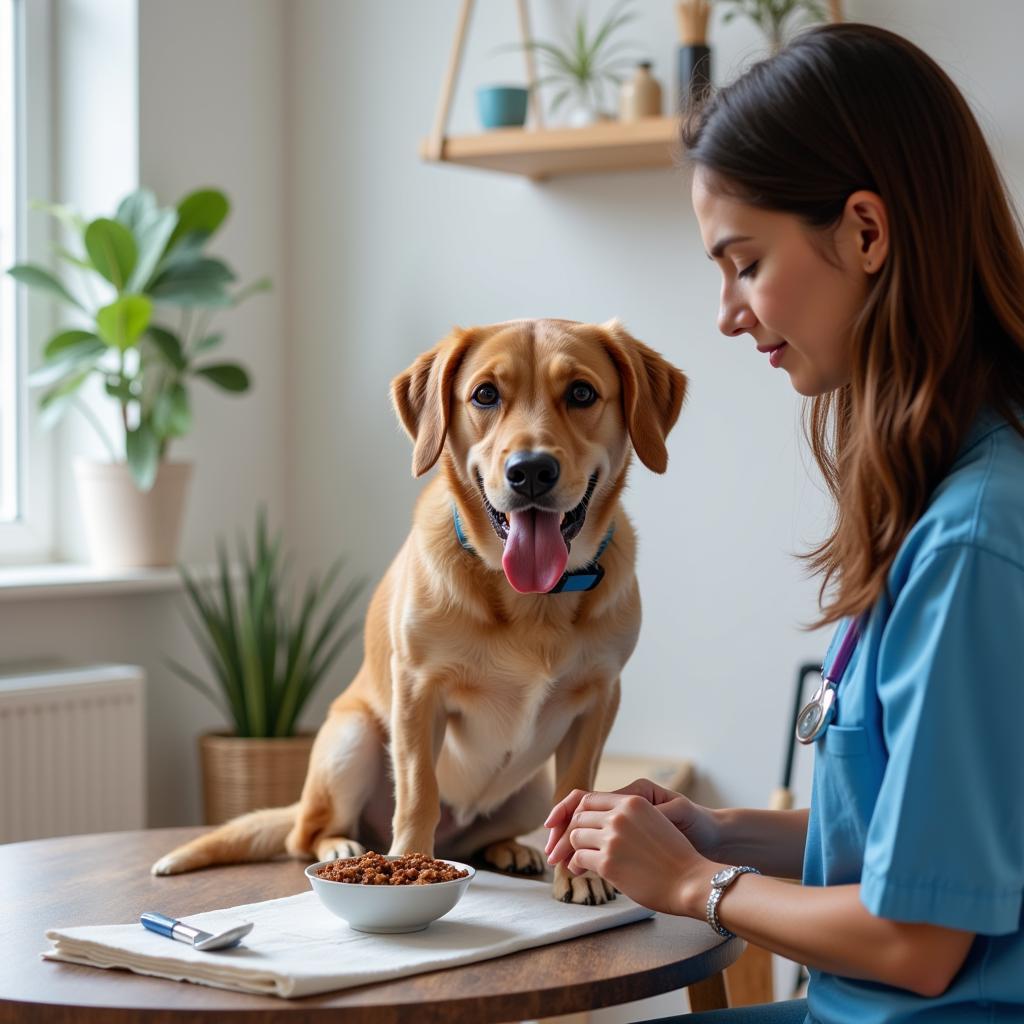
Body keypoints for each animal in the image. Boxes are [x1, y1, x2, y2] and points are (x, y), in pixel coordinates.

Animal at [153, 319, 688, 905]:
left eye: (582, 393)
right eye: (485, 395)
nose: (530, 471)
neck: (531, 601)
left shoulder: (598, 699)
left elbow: (574, 799)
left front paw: (578, 871)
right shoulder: (417, 689)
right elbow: (418, 793)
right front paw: (409, 865)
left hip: (527, 789)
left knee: (494, 829)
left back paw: (509, 849)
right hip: (352, 738)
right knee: (305, 832)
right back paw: (341, 846)